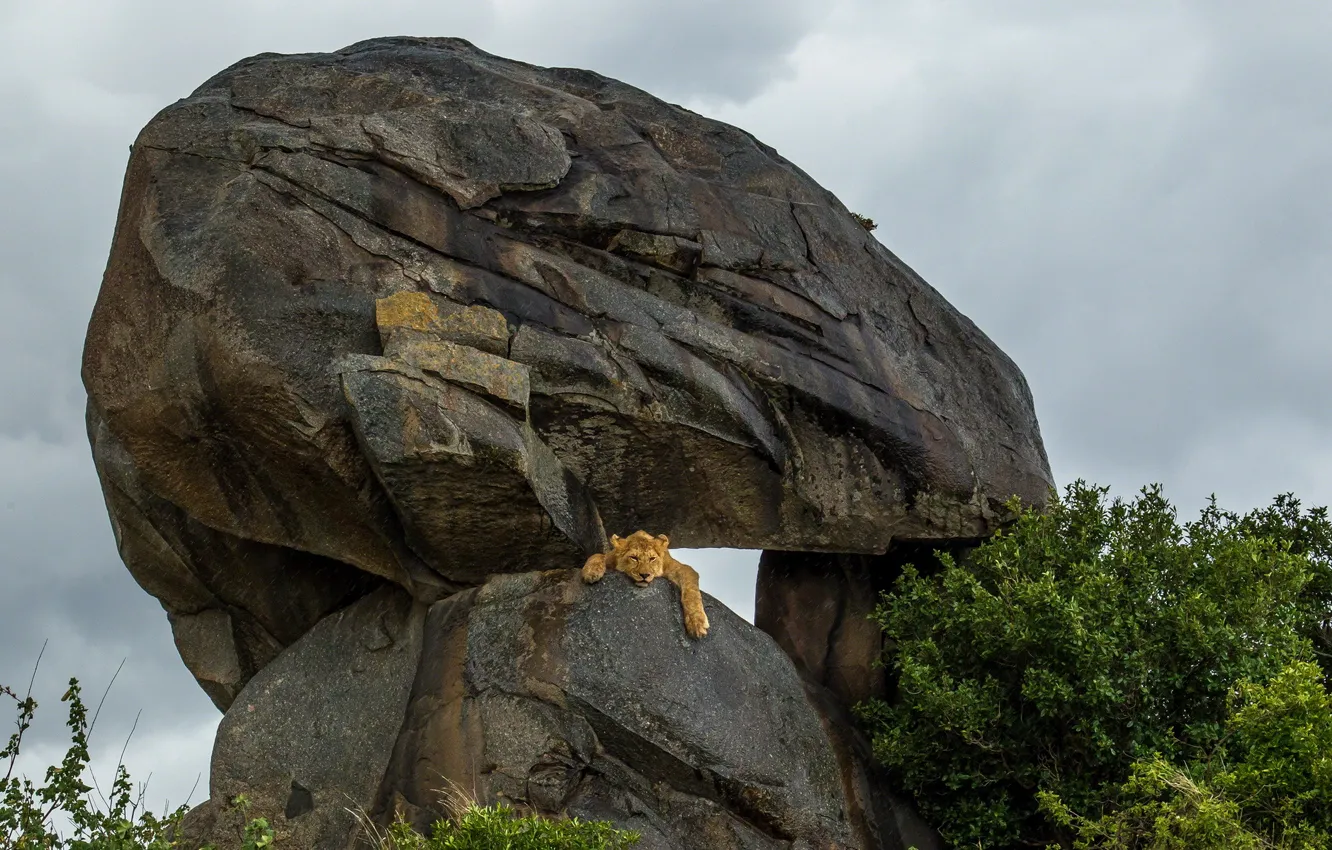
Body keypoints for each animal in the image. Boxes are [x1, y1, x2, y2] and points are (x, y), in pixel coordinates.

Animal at [581, 531, 710, 639]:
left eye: (652, 558)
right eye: (634, 558)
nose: (644, 575)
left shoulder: (682, 569)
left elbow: (691, 592)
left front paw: (696, 623)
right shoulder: (609, 557)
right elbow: (597, 555)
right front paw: (591, 572)